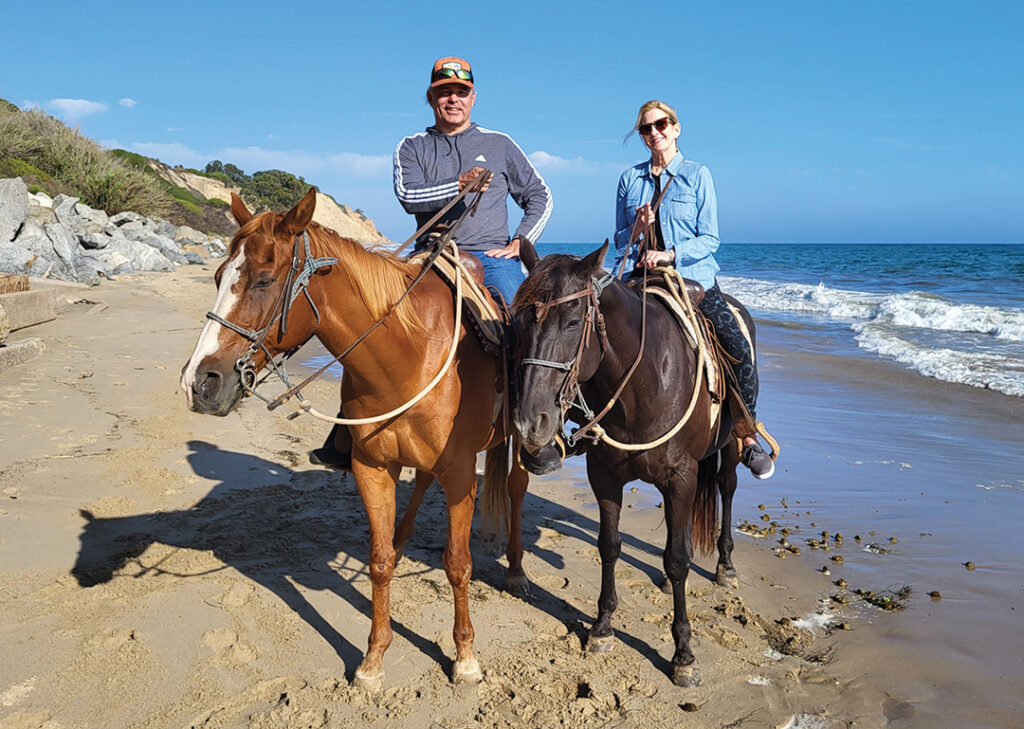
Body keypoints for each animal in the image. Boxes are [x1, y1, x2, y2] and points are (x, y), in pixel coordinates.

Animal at [180, 188, 528, 688]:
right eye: (216, 276)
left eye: (264, 281)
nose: (198, 383)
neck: (409, 353)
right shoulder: (373, 467)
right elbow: (379, 562)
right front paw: (373, 661)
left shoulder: (462, 473)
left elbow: (458, 564)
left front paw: (465, 658)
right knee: (423, 484)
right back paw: (403, 540)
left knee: (516, 490)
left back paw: (516, 569)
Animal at [512, 240, 753, 688]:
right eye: (519, 322)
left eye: (574, 322)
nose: (529, 423)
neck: (644, 383)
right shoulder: (604, 475)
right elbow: (609, 546)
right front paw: (603, 627)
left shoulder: (681, 477)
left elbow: (677, 560)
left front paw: (683, 654)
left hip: (728, 447)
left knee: (726, 489)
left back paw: (725, 565)